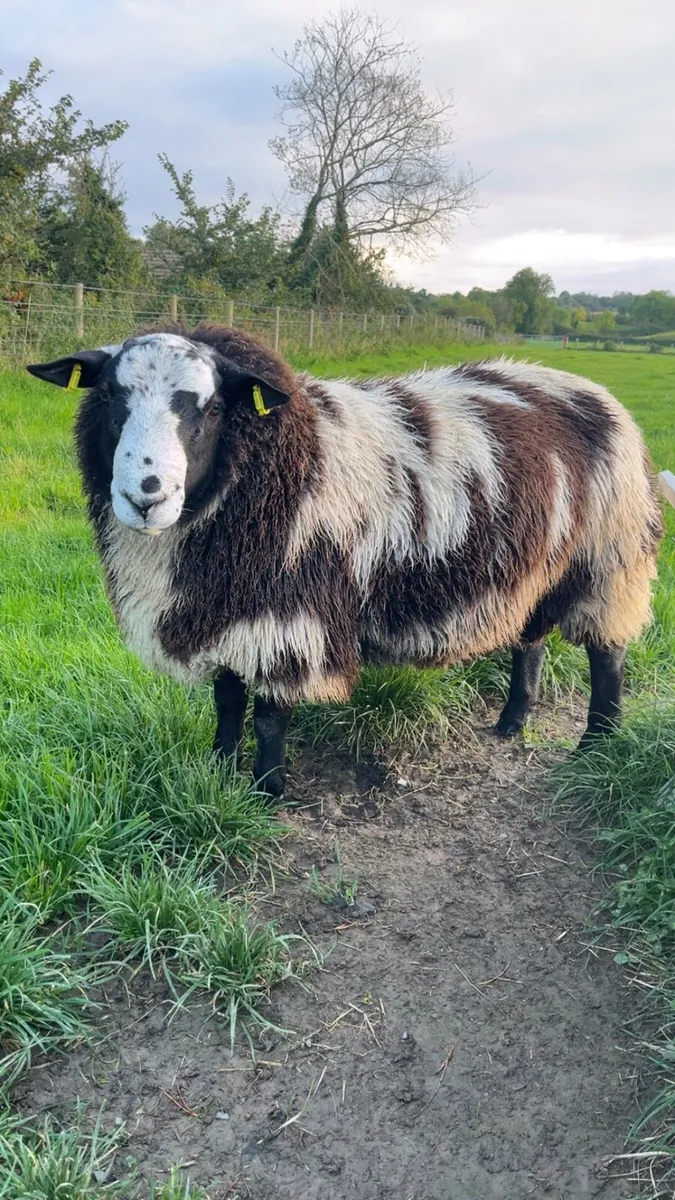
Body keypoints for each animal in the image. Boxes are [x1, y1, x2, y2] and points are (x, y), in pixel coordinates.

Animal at [27, 324, 663, 800]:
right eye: (110, 399)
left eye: (210, 410)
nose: (145, 496)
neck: (292, 462)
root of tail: (591, 388)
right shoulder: (227, 609)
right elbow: (227, 700)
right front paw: (218, 770)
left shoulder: (286, 618)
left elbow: (268, 716)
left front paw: (266, 793)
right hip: (537, 566)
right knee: (530, 641)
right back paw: (511, 725)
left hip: (609, 557)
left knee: (608, 654)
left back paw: (597, 745)